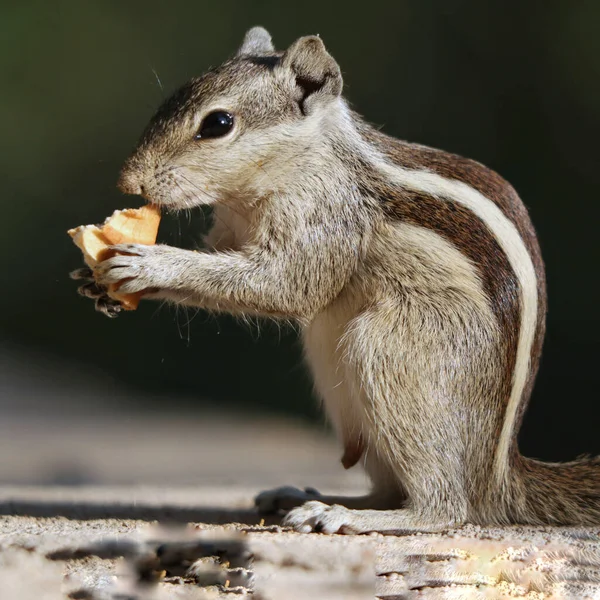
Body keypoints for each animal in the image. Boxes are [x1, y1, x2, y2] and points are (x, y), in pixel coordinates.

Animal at [74, 27, 600, 536]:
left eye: (218, 124)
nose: (128, 182)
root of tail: (498, 476)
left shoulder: (325, 219)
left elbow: (284, 285)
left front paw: (150, 265)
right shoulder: (229, 230)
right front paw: (93, 279)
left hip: (393, 357)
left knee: (444, 508)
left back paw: (350, 516)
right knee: (389, 488)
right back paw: (311, 500)